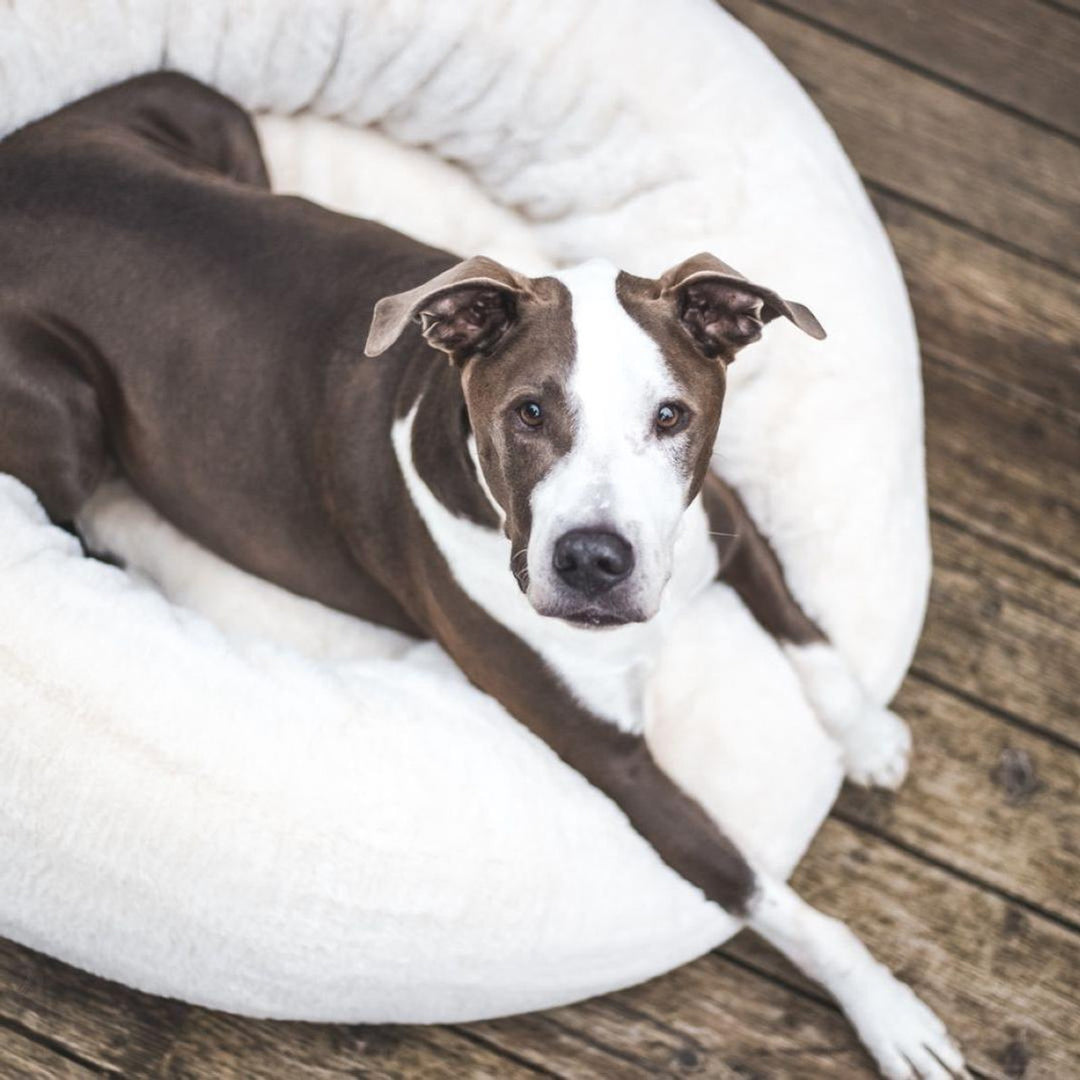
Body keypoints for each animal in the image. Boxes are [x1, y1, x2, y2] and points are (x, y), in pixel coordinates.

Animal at [0, 76, 967, 1080]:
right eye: (529, 412)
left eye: (671, 416)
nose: (593, 560)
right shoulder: (619, 767)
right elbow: (782, 906)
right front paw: (889, 1013)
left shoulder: (724, 521)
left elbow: (807, 630)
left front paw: (867, 734)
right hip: (65, 405)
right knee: (61, 502)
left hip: (210, 114)